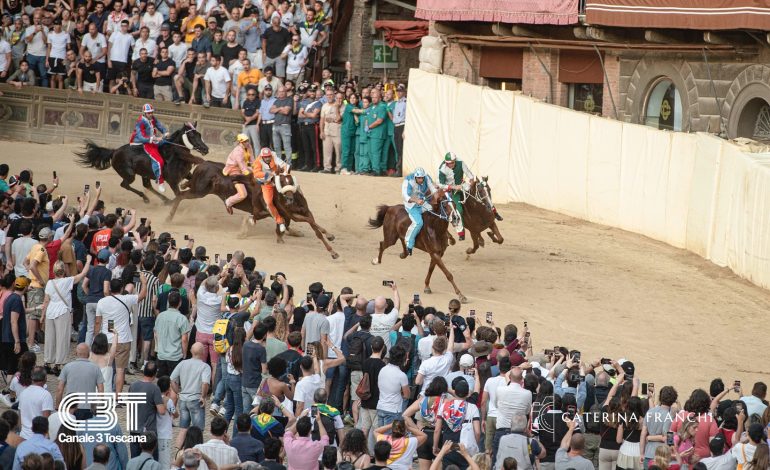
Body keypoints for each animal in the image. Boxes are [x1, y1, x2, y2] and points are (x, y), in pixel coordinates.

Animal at [74, 122, 208, 203]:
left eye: (199, 134)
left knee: (147, 185)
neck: (174, 155)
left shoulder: (186, 174)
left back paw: (164, 200)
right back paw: (146, 199)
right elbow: (179, 194)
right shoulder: (172, 181)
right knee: (125, 185)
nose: (206, 149)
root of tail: (114, 151)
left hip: (144, 174)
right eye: (192, 135)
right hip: (129, 174)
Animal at [166, 161, 338, 258]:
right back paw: (169, 217)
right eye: (281, 181)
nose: (289, 199)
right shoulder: (283, 212)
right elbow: (306, 224)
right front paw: (333, 252)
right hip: (199, 190)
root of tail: (200, 165)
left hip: (198, 188)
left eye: (290, 180)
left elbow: (313, 224)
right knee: (180, 196)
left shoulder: (301, 211)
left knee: (182, 190)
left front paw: (329, 236)